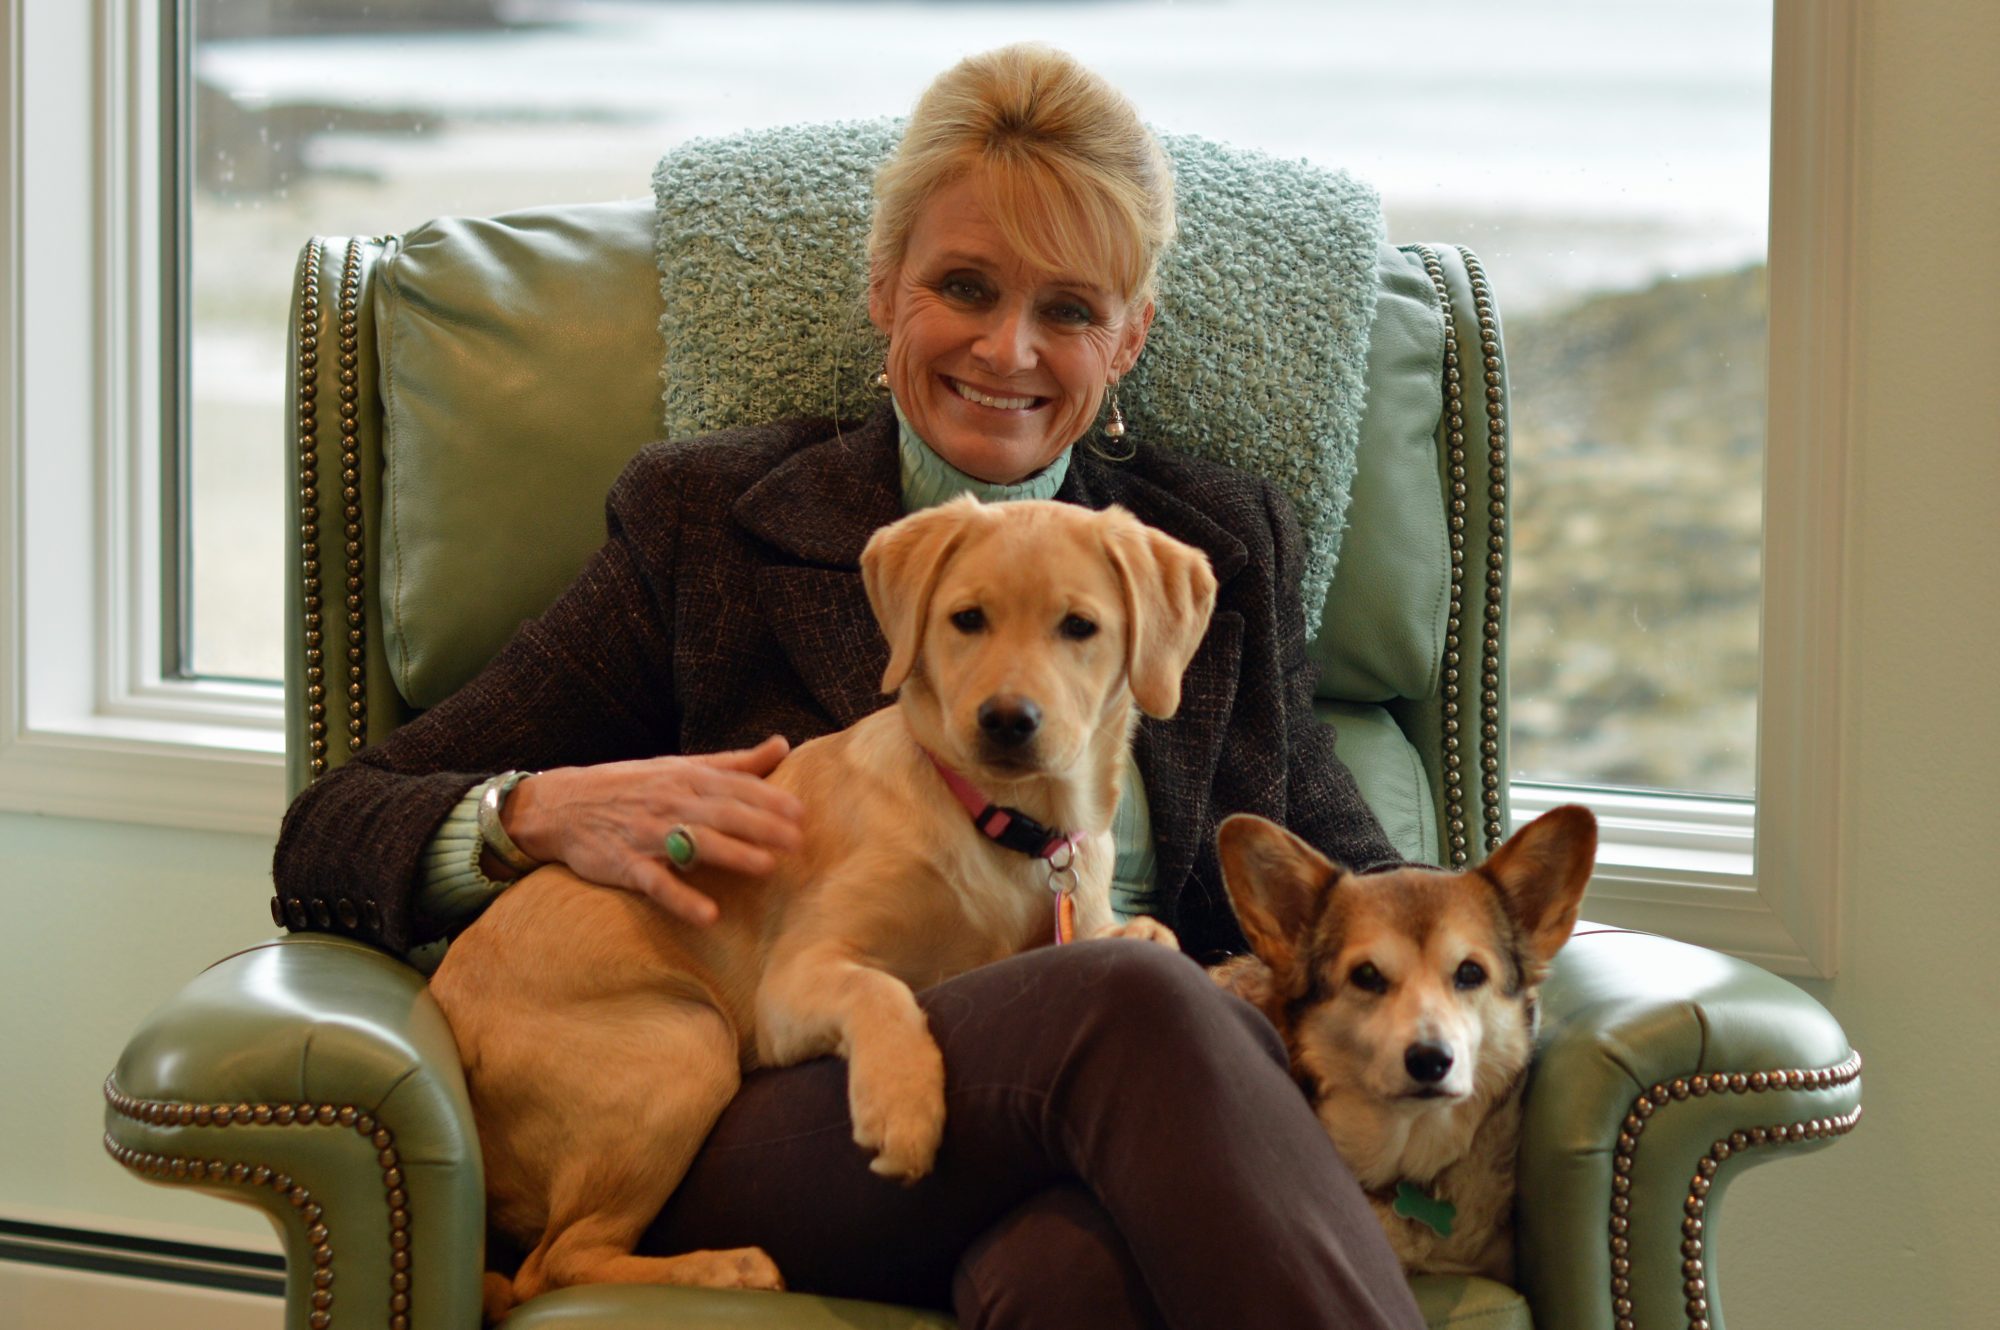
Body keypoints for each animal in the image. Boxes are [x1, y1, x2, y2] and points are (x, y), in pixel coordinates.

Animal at [434, 496, 1216, 1304]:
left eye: (1079, 627)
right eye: (967, 619)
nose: (1007, 719)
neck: (1006, 826)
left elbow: (1146, 936)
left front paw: (1137, 936)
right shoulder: (793, 982)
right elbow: (880, 988)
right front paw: (904, 1101)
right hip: (686, 1042)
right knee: (557, 1263)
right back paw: (727, 1267)